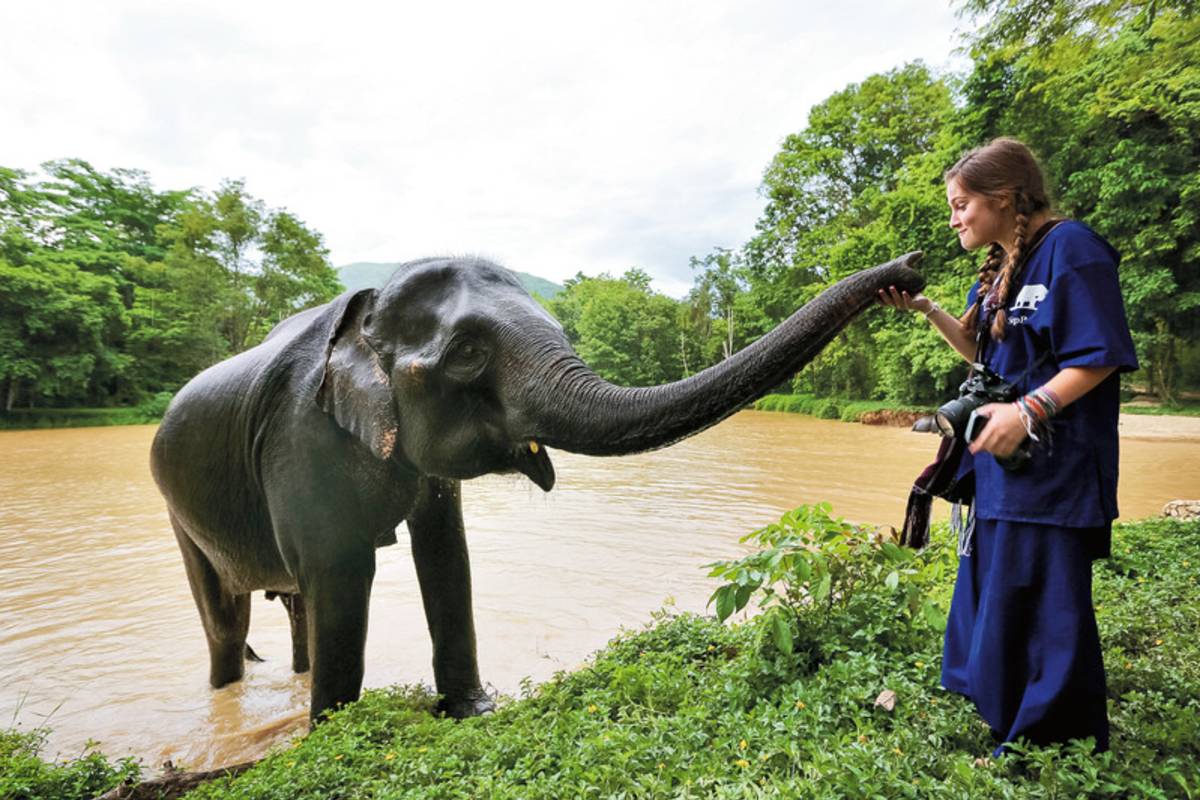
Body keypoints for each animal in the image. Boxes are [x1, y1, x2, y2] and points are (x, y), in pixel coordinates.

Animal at [150, 252, 924, 723]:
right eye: (466, 353)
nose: (912, 270)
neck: (361, 317)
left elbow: (446, 556)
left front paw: (473, 711)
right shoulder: (299, 438)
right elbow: (342, 574)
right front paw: (332, 734)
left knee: (293, 606)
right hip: (174, 504)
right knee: (228, 619)